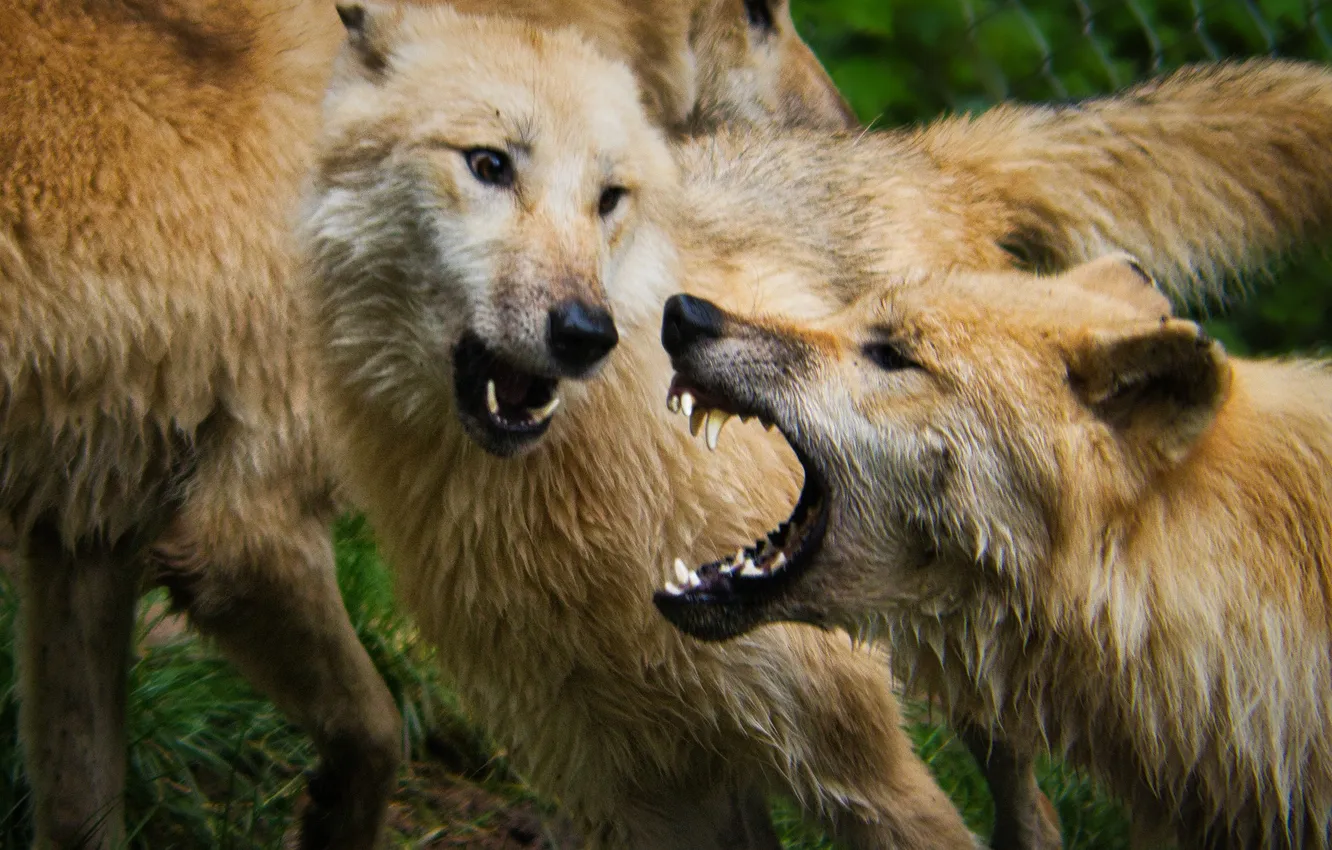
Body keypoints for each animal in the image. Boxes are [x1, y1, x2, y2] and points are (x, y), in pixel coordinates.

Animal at [0, 0, 849, 846]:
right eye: (760, 13)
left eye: (608, 196)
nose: (845, 130)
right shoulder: (245, 532)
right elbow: (377, 731)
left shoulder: (87, 535)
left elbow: (82, 798)